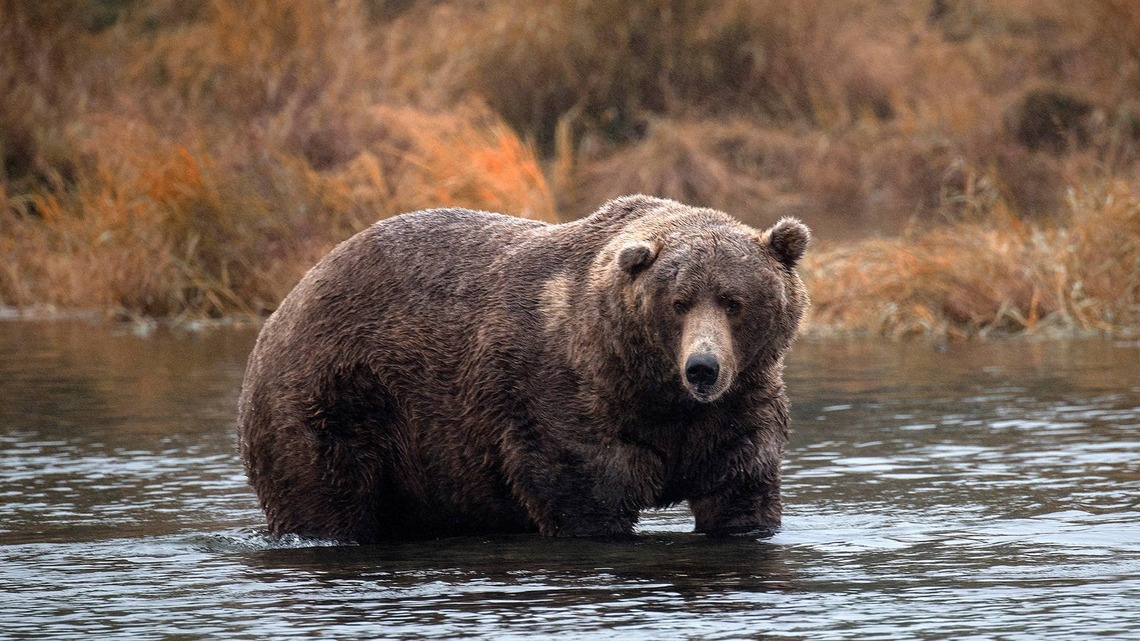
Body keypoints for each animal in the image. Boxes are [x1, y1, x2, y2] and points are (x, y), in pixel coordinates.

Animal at [237, 195, 810, 542]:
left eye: (733, 301)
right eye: (678, 302)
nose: (703, 368)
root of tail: (285, 305)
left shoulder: (737, 408)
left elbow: (739, 488)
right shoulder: (564, 400)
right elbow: (586, 495)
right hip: (337, 399)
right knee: (326, 494)